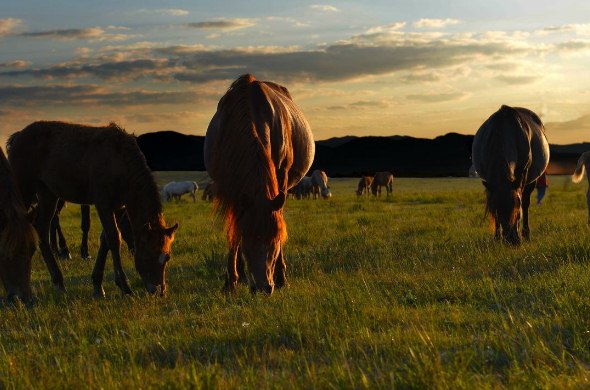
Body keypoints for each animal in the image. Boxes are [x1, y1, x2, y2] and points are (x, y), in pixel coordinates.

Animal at [7, 120, 178, 298]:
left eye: (167, 257)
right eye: (147, 255)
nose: (158, 290)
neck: (119, 161)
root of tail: (17, 137)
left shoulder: (118, 206)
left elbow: (105, 240)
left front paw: (98, 285)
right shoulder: (102, 202)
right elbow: (113, 238)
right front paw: (125, 286)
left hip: (48, 193)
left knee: (41, 229)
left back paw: (58, 281)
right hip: (24, 189)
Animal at [205, 73, 314, 294]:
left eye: (275, 242)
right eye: (248, 243)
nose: (264, 287)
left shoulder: (280, 178)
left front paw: (281, 277)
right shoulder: (229, 186)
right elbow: (234, 232)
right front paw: (230, 281)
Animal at [472, 103, 552, 244]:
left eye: (517, 205)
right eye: (497, 208)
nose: (512, 240)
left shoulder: (522, 175)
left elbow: (523, 203)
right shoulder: (490, 182)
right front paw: (497, 237)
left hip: (531, 181)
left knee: (526, 203)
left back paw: (526, 234)